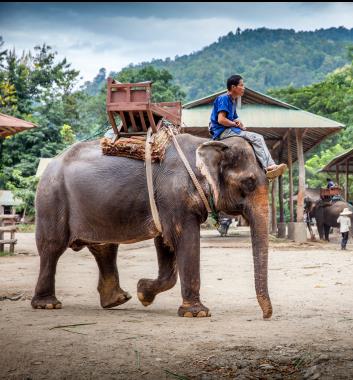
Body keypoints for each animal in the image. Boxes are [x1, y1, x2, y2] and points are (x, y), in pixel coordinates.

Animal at [31, 132, 272, 320]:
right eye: (249, 182)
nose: (266, 315)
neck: (204, 143)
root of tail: (51, 163)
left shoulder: (165, 202)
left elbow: (165, 243)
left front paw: (143, 293)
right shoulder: (173, 195)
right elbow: (184, 238)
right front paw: (197, 313)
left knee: (104, 247)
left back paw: (117, 300)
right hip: (51, 197)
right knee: (52, 247)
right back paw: (48, 305)